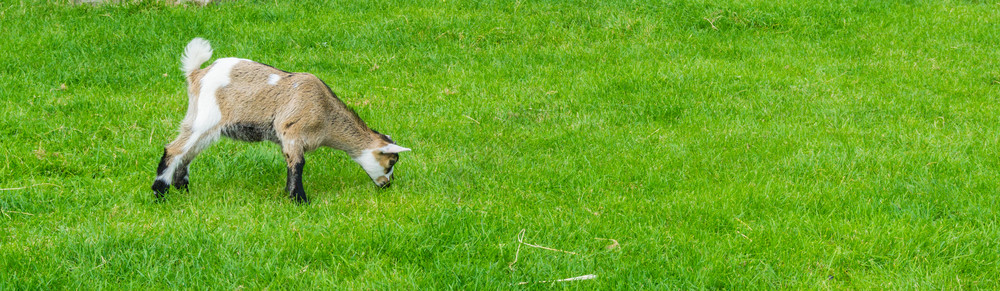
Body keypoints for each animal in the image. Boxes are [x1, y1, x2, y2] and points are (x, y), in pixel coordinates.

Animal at [152, 38, 410, 203]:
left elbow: (290, 163)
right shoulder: (292, 132)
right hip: (207, 118)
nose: (387, 185)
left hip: (202, 121)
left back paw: (183, 189)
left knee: (188, 152)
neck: (326, 114)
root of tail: (197, 73)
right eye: (391, 162)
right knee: (174, 149)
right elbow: (297, 164)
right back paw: (159, 194)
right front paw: (300, 200)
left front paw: (290, 195)